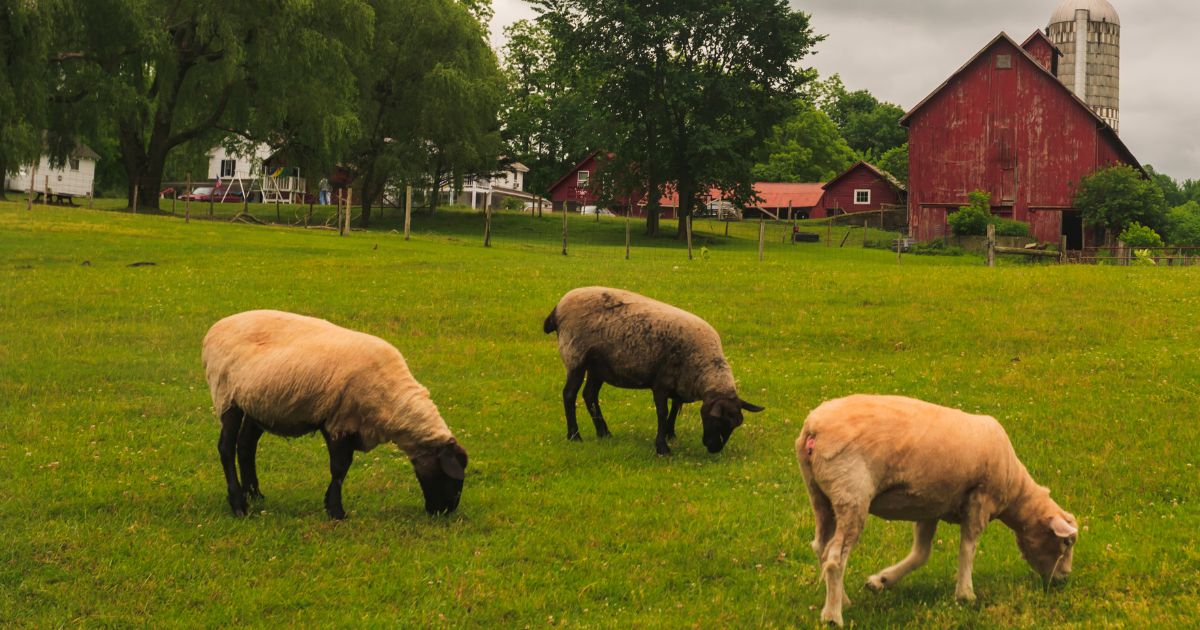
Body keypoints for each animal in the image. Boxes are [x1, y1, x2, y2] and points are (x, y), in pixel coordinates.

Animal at [199, 307, 465, 518]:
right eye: (454, 478)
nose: (445, 512)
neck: (392, 403)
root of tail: (214, 329)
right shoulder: (340, 421)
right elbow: (340, 467)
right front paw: (336, 510)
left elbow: (342, 468)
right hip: (227, 396)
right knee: (226, 448)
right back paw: (238, 505)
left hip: (257, 403)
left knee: (245, 446)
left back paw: (254, 494)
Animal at [542, 286, 758, 453]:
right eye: (718, 420)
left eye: (735, 424)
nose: (714, 449)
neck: (703, 367)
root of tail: (557, 309)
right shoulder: (661, 383)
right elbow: (662, 412)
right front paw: (662, 447)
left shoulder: (680, 381)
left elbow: (675, 408)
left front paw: (671, 433)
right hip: (575, 356)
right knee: (569, 395)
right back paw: (574, 436)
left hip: (597, 366)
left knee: (589, 395)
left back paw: (604, 433)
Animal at [796, 393, 1080, 624]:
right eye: (1067, 543)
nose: (1064, 579)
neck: (1015, 489)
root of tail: (814, 427)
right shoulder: (980, 500)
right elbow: (968, 548)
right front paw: (965, 594)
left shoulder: (929, 505)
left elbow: (921, 554)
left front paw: (881, 581)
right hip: (851, 492)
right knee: (835, 558)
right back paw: (832, 616)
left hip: (820, 495)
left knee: (821, 547)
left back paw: (842, 600)